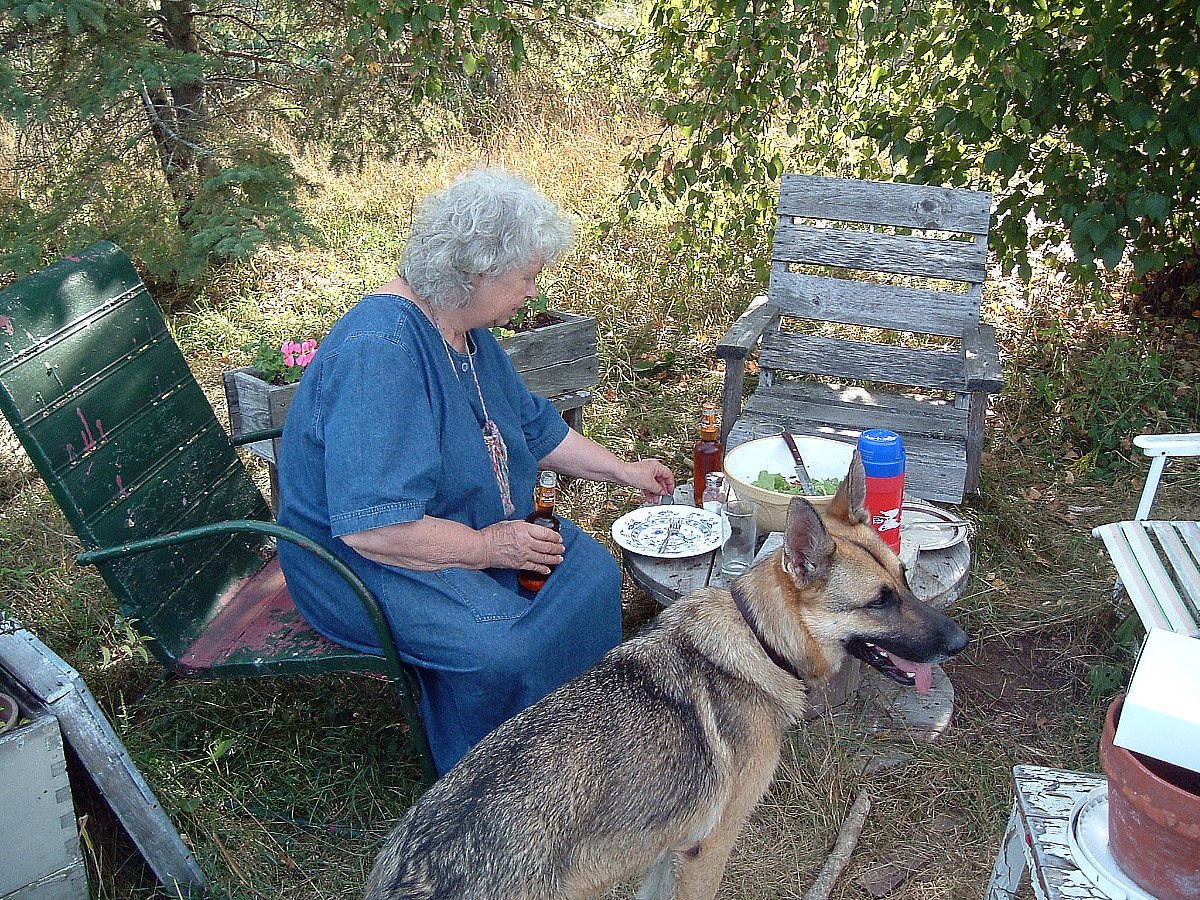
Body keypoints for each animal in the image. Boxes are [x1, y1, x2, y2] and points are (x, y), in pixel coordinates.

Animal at [364, 458, 964, 900]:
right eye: (879, 602)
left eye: (904, 579)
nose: (958, 640)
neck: (759, 641)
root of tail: (414, 873)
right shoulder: (708, 849)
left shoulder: (669, 851)